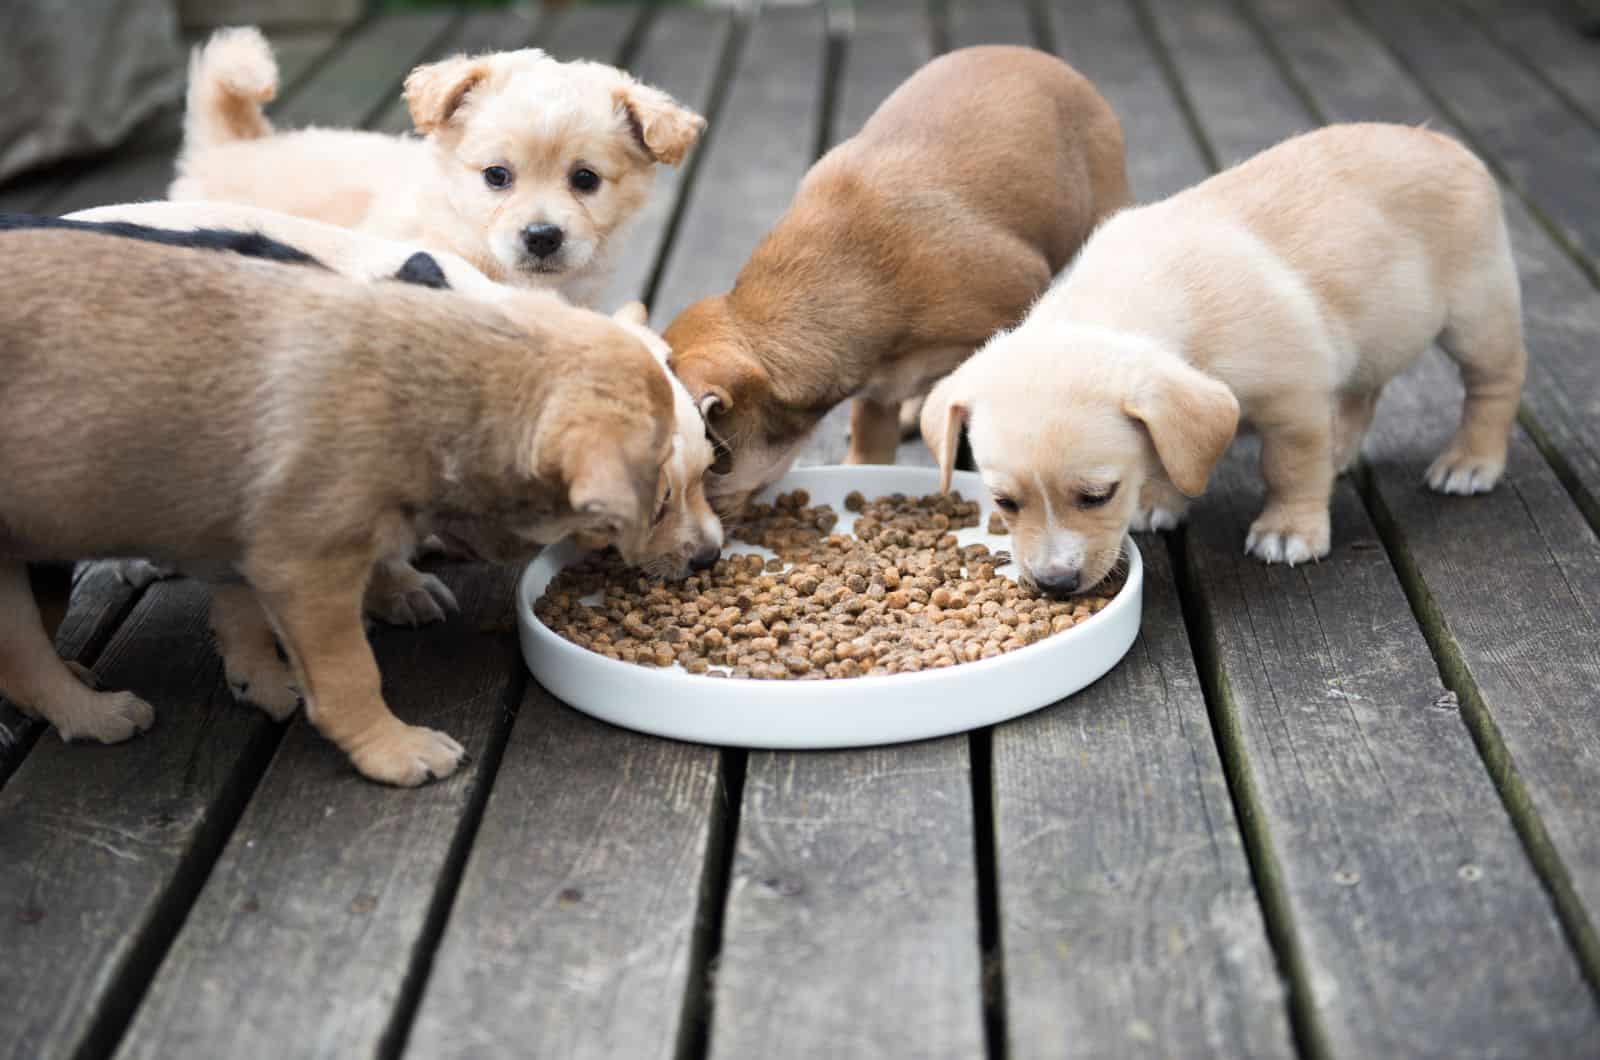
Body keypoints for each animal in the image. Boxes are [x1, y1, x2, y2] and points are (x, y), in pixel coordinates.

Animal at [0, 228, 675, 784]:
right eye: (662, 495)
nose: (694, 559)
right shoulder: (306, 568)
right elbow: (350, 673)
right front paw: (391, 748)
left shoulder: (249, 534)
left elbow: (242, 616)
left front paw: (263, 681)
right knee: (23, 658)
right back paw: (91, 712)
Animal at [928, 122, 1523, 598]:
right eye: (1004, 502)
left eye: (1098, 496)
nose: (1055, 585)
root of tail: (1443, 141)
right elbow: (1170, 448)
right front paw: (1160, 498)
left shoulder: (1294, 405)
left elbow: (1288, 469)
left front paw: (1289, 531)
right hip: (1377, 333)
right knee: (1363, 393)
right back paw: (1342, 452)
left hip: (1477, 313)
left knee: (1494, 385)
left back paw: (1471, 461)